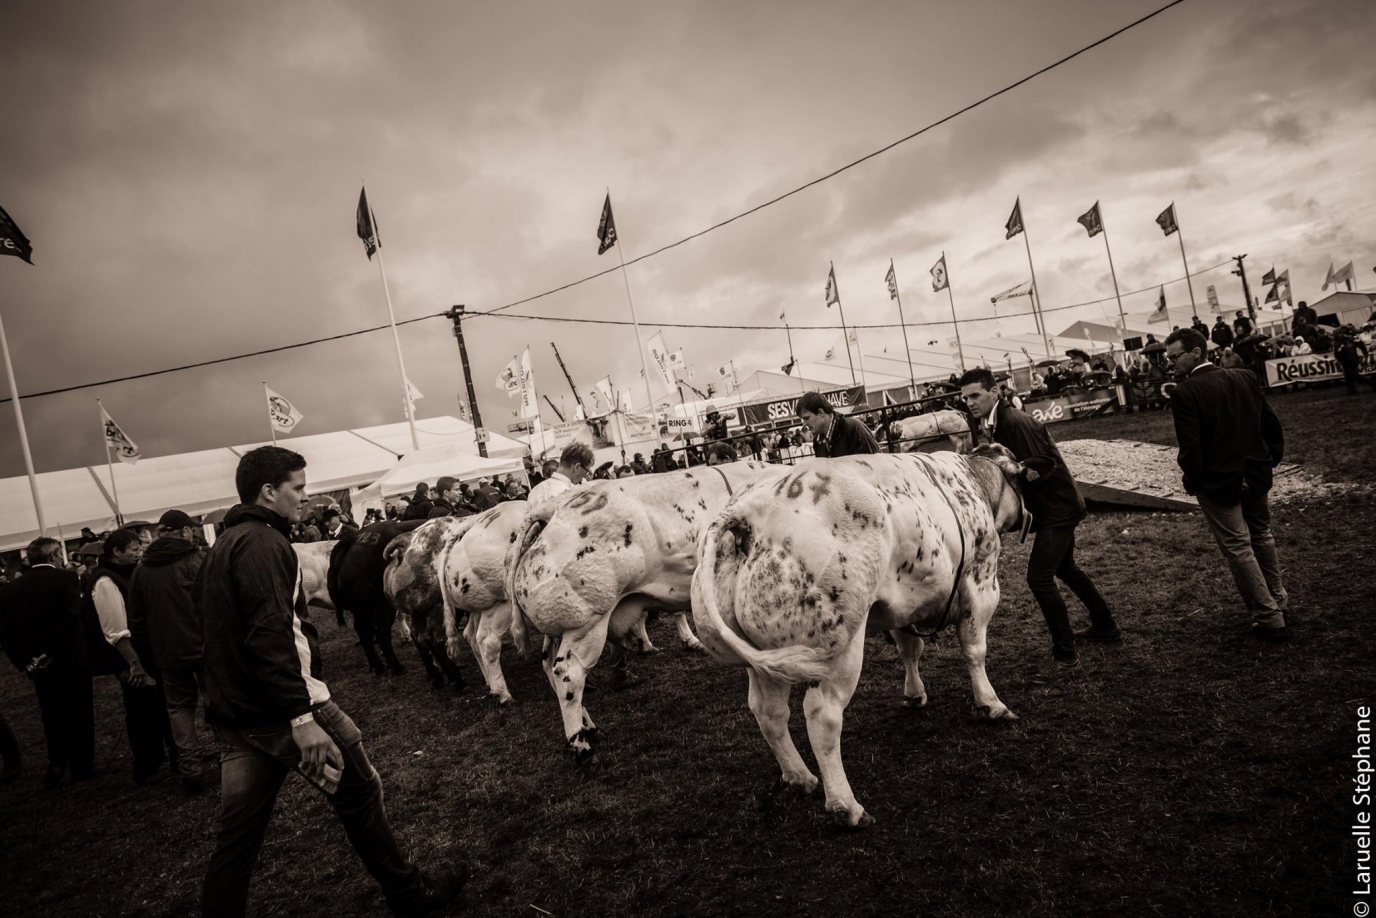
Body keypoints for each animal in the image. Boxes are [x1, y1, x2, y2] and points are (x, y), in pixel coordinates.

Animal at [506, 459, 787, 759]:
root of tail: (552, 507)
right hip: (587, 622)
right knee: (569, 674)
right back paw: (580, 742)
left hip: (559, 625)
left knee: (549, 665)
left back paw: (588, 727)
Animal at [693, 448, 1034, 831]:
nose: (1027, 519)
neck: (971, 483)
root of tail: (746, 510)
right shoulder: (982, 582)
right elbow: (975, 650)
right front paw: (991, 703)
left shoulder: (902, 607)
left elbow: (910, 649)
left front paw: (914, 694)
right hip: (839, 649)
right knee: (822, 715)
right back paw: (846, 806)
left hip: (764, 659)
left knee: (768, 711)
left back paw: (800, 777)